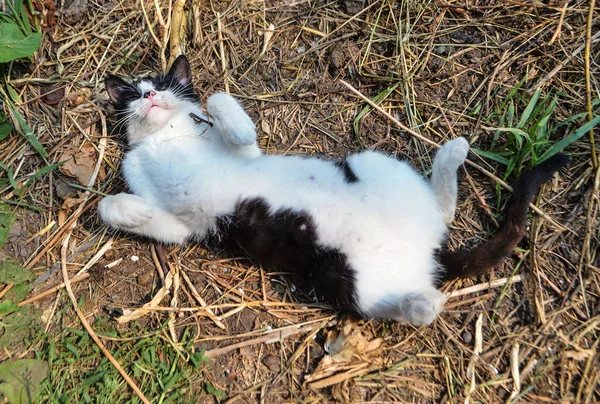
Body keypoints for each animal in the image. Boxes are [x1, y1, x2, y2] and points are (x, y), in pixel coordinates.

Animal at [99, 54, 572, 326]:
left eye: (165, 86)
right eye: (135, 94)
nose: (152, 97)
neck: (166, 138)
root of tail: (430, 251)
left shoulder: (245, 152)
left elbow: (224, 109)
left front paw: (217, 107)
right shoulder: (184, 227)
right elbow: (117, 208)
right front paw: (131, 211)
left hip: (371, 163)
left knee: (443, 210)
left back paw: (452, 153)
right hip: (349, 282)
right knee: (415, 297)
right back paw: (424, 302)